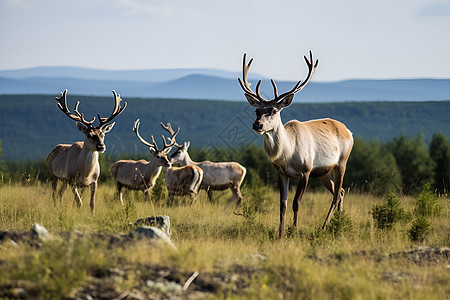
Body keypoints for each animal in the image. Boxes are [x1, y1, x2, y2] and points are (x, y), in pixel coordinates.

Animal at [239, 52, 356, 239]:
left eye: (273, 110)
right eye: (256, 110)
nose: (257, 125)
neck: (287, 154)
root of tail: (348, 131)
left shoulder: (306, 171)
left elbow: (296, 202)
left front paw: (294, 231)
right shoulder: (282, 173)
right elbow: (283, 204)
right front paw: (280, 234)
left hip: (342, 162)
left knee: (336, 194)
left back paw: (327, 226)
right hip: (324, 172)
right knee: (342, 191)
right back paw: (337, 224)